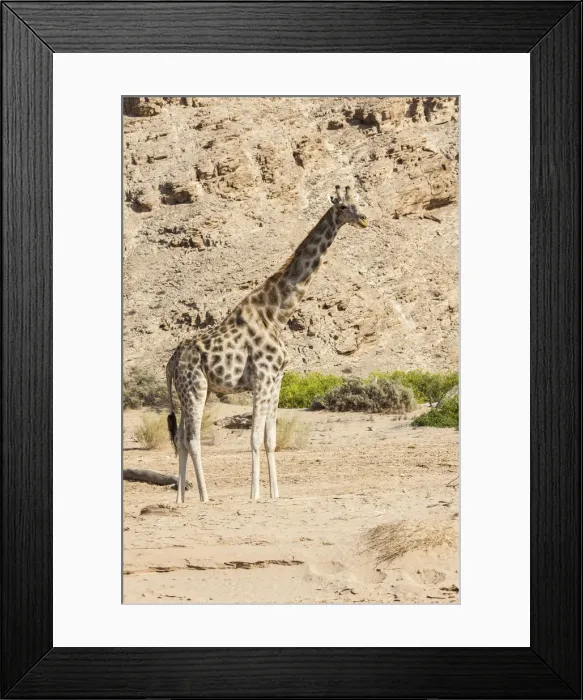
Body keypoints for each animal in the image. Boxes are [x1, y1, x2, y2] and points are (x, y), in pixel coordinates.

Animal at [166, 185, 369, 503]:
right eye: (343, 206)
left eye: (358, 201)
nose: (364, 219)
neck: (276, 315)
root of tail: (171, 361)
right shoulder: (262, 377)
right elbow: (253, 438)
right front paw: (254, 495)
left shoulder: (276, 379)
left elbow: (270, 439)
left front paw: (275, 493)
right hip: (194, 387)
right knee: (193, 439)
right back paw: (205, 496)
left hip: (194, 390)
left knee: (181, 438)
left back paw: (181, 500)